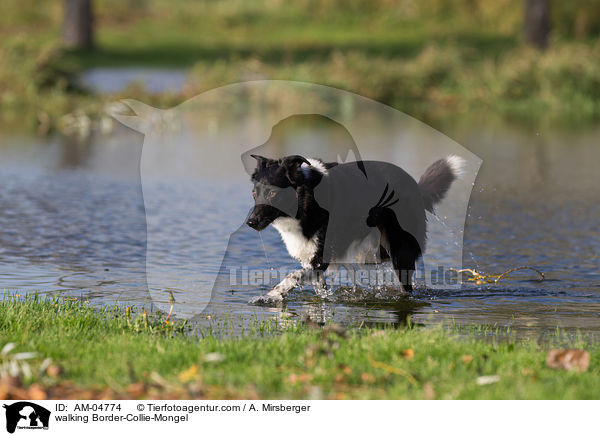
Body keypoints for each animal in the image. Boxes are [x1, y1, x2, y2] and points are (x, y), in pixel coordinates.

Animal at [246, 155, 462, 304]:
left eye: (273, 193)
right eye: (254, 193)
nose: (250, 222)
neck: (306, 198)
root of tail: (416, 186)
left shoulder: (321, 258)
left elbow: (293, 276)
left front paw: (272, 294)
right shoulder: (312, 260)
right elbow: (317, 288)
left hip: (400, 251)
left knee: (406, 286)